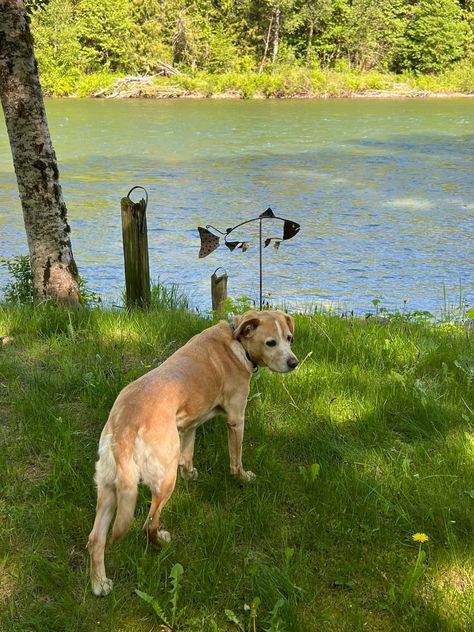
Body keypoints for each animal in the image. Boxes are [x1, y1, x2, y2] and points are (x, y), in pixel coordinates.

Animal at [87, 308, 298, 596]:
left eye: (289, 338)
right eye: (271, 343)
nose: (294, 362)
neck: (236, 342)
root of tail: (125, 427)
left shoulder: (189, 425)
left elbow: (188, 452)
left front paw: (190, 472)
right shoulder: (236, 419)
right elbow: (236, 459)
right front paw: (242, 478)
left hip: (110, 487)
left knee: (95, 538)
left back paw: (100, 583)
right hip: (164, 481)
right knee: (147, 524)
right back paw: (160, 541)